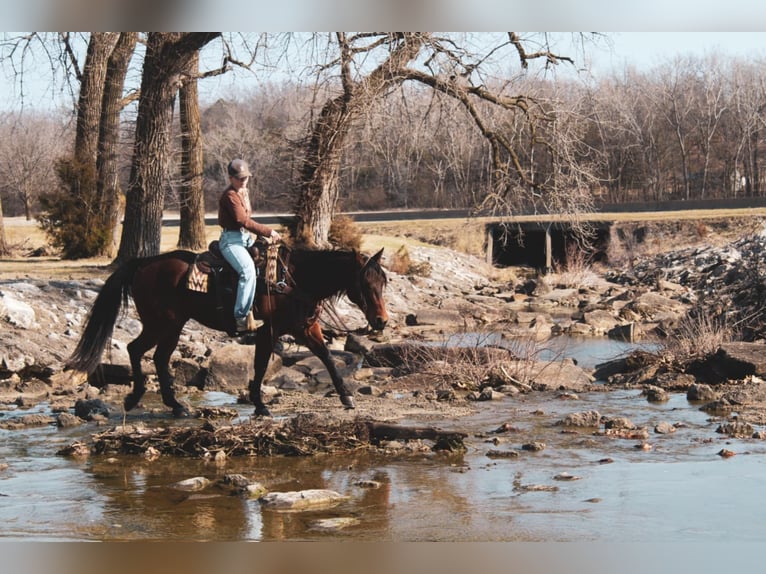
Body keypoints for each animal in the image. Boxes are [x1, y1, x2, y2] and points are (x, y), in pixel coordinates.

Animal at [64, 244, 390, 418]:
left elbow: (327, 357)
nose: (382, 320)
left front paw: (346, 397)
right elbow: (261, 365)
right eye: (366, 283)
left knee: (156, 357)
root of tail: (145, 263)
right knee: (138, 350)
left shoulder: (305, 327)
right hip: (163, 323)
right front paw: (260, 405)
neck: (294, 281)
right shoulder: (269, 331)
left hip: (170, 325)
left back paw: (174, 405)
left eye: (383, 282)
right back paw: (142, 399)